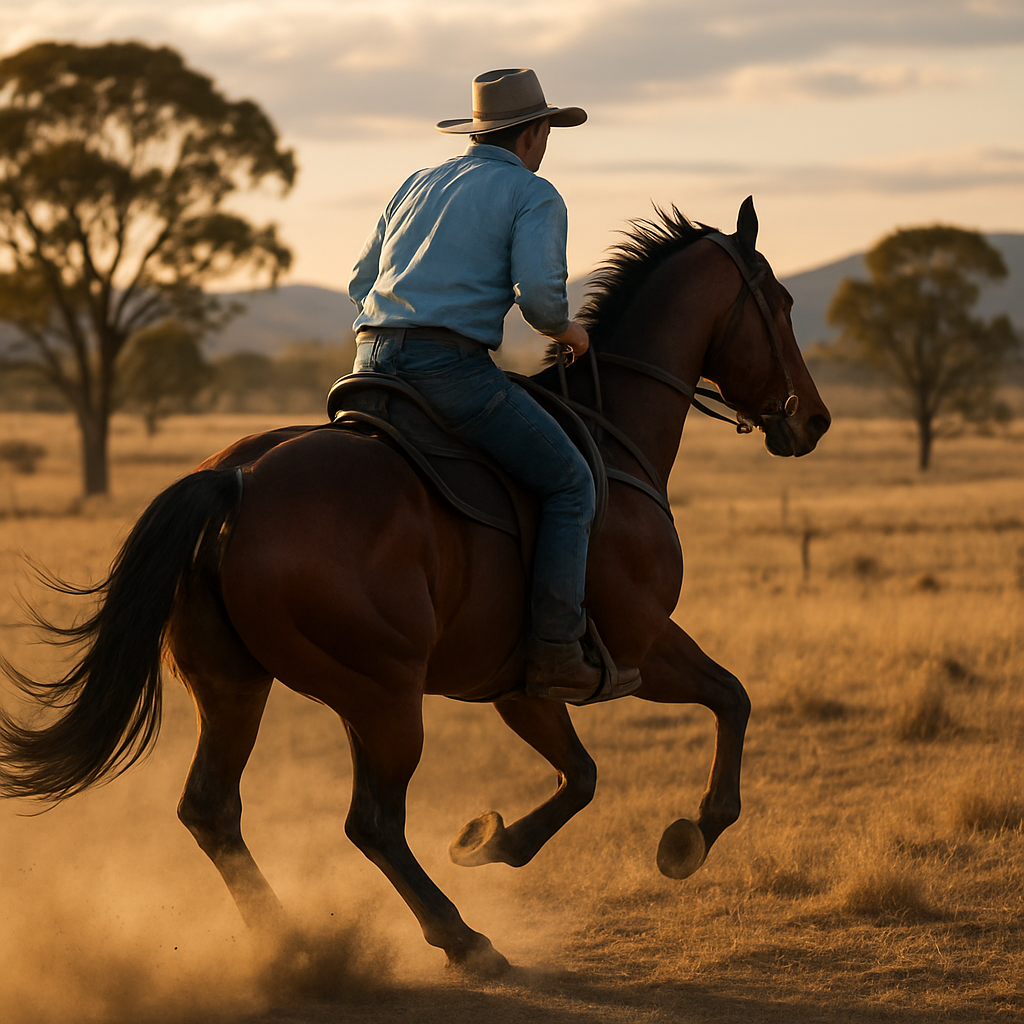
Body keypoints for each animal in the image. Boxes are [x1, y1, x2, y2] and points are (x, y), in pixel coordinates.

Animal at [0, 197, 830, 976]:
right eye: (782, 303)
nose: (816, 419)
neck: (612, 433)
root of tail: (235, 478)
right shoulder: (640, 646)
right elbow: (726, 701)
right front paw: (689, 837)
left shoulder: (521, 684)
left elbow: (586, 772)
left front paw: (491, 841)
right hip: (383, 697)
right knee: (370, 823)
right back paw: (463, 941)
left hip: (240, 685)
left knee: (213, 810)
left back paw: (292, 944)